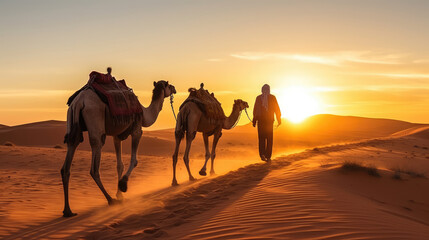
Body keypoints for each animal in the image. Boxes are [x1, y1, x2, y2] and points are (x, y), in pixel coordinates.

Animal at [60, 79, 176, 217]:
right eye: (169, 85)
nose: (174, 88)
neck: (144, 113)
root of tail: (79, 101)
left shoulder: (117, 136)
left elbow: (119, 165)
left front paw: (120, 195)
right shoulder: (137, 129)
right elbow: (134, 160)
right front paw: (123, 185)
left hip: (72, 119)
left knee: (68, 157)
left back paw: (68, 210)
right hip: (95, 119)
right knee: (94, 165)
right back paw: (110, 200)